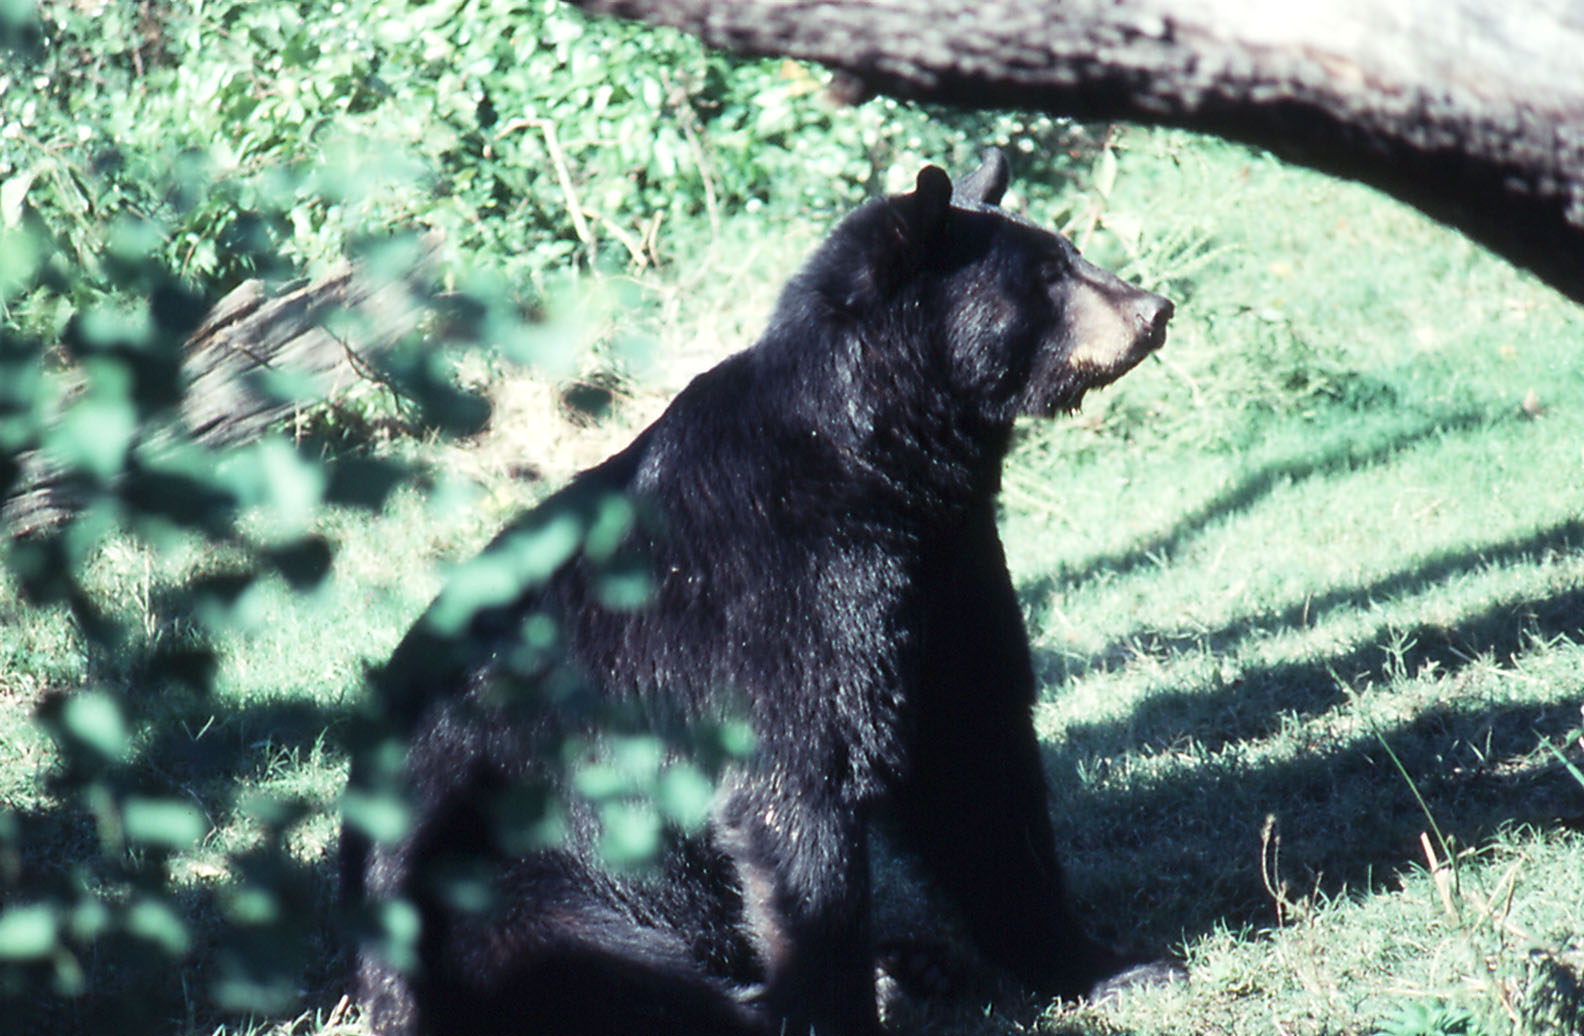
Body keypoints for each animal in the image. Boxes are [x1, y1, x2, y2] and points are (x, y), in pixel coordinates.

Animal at [343, 149, 1175, 1036]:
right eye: (1046, 275)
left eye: (1069, 250)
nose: (1154, 309)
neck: (884, 469)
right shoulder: (770, 598)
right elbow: (796, 795)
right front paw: (835, 1005)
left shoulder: (949, 576)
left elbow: (983, 768)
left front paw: (1110, 965)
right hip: (498, 869)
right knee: (603, 970)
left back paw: (911, 964)